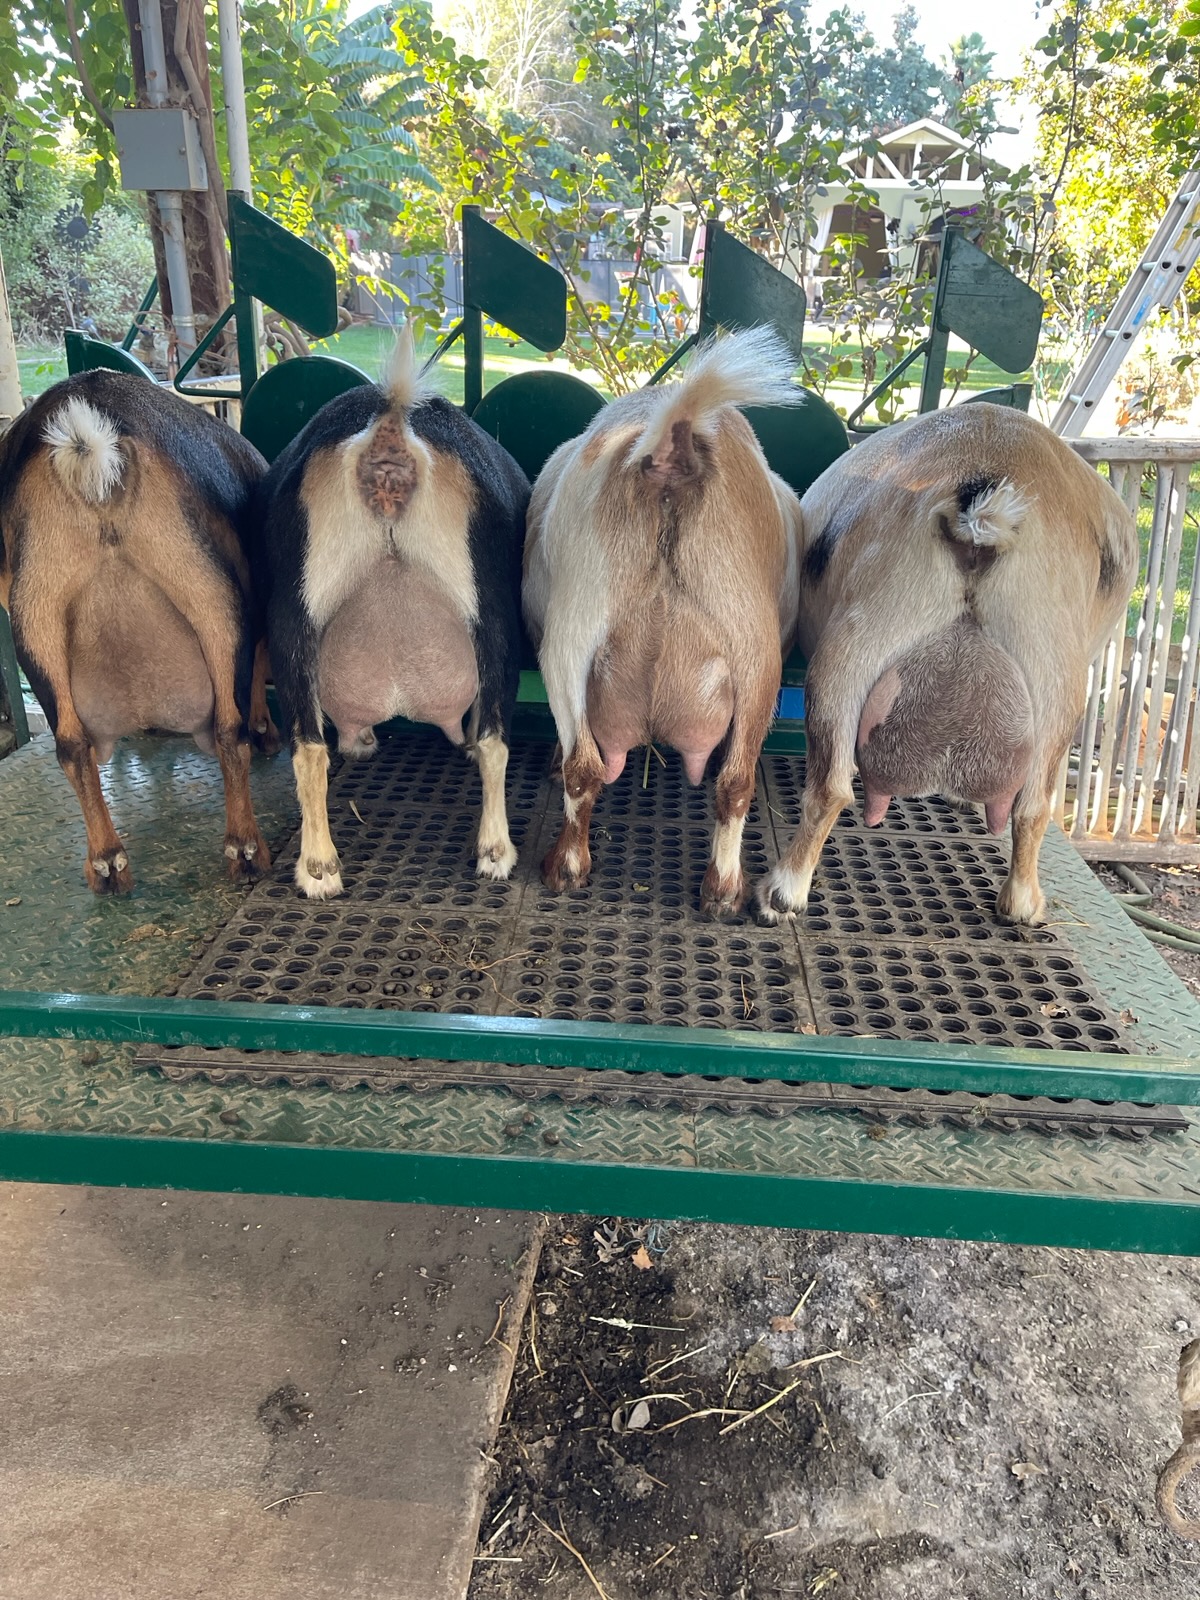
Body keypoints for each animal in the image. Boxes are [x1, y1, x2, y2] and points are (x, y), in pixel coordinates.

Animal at [0, 370, 275, 893]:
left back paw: (107, 862)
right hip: (210, 591)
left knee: (71, 745)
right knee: (230, 728)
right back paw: (245, 849)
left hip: (37, 610)